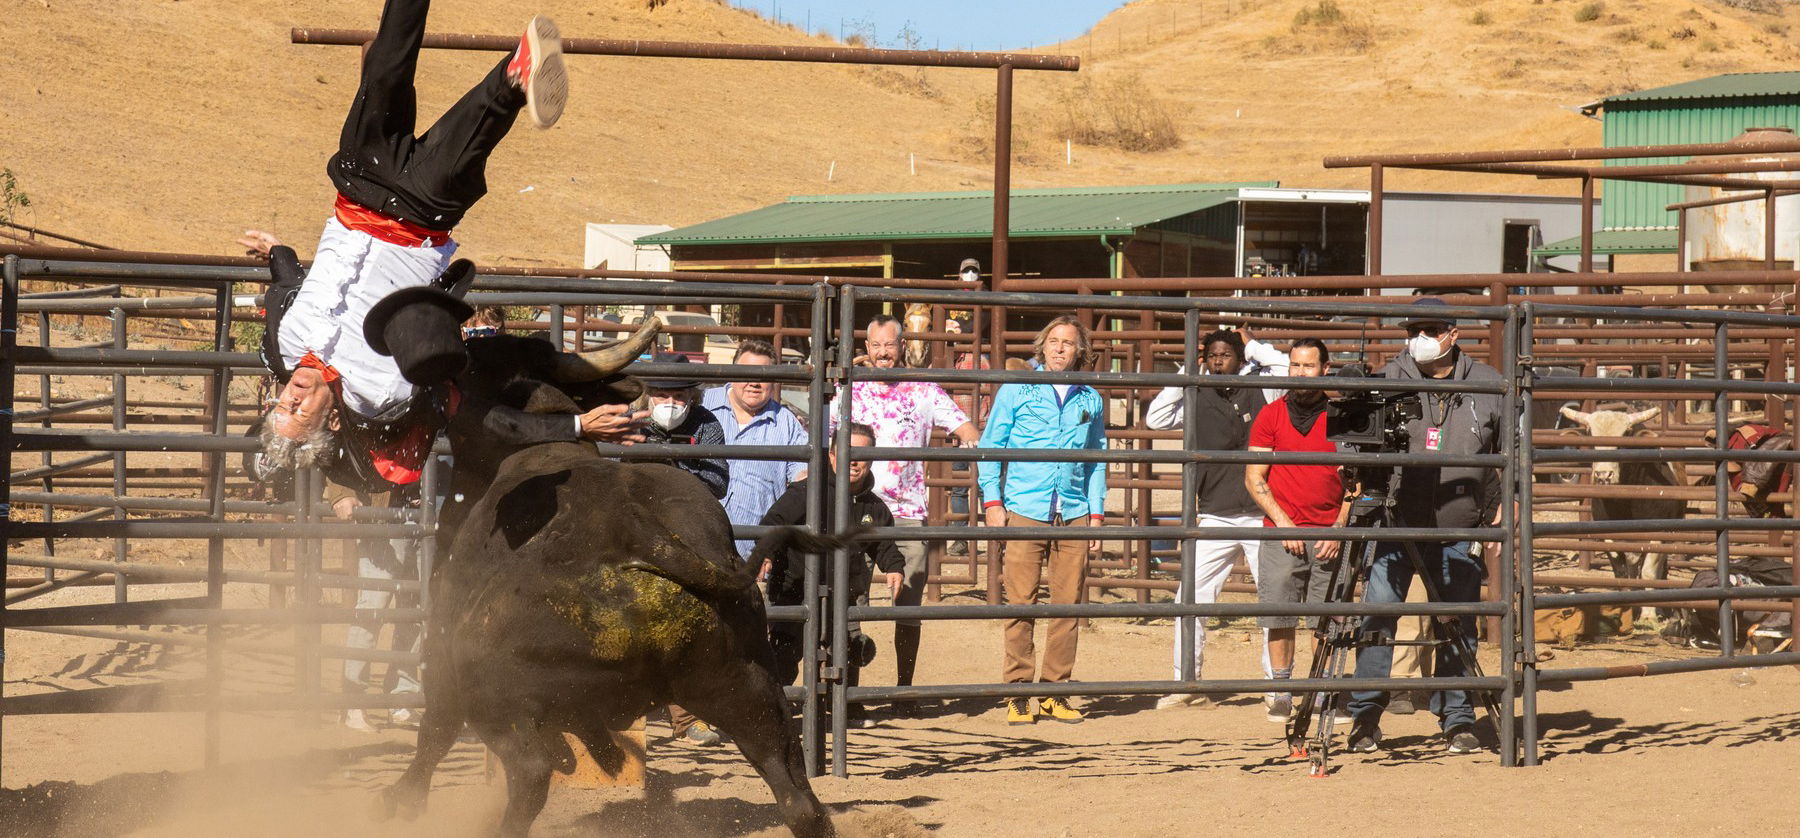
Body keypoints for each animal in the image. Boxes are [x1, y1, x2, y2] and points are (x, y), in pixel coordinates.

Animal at [378, 330, 835, 838]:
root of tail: (637, 534)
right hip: (747, 686)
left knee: (529, 772)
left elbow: (435, 729)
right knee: (795, 790)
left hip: (493, 697)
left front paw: (403, 799)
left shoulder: (441, 646)